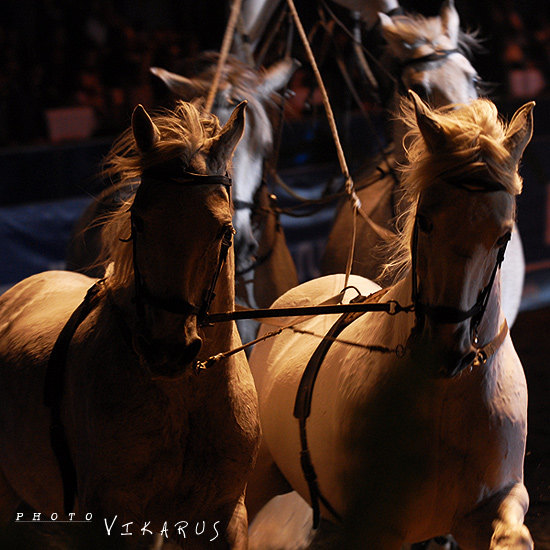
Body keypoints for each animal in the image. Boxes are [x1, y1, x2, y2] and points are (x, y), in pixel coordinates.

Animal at [248, 92, 536, 548]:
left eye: (503, 235)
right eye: (426, 221)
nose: (446, 349)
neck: (444, 393)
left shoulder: (493, 507)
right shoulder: (364, 528)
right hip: (261, 476)